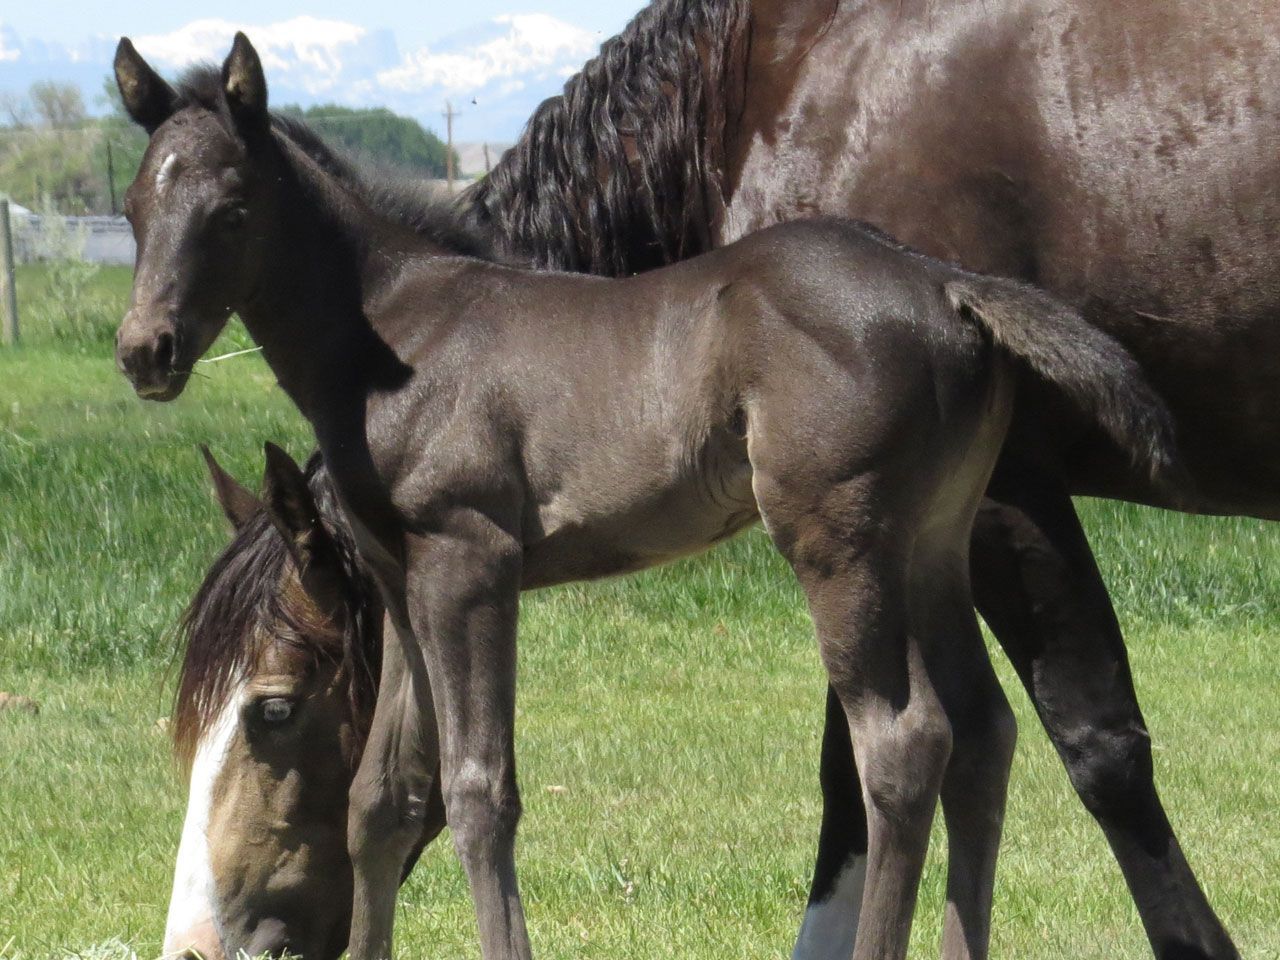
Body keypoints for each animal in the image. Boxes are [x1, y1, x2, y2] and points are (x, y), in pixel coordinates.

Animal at [112, 34, 1178, 960]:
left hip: (841, 542)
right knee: (986, 733)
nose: (144, 351)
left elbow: (479, 791)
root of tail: (945, 282)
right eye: (130, 207)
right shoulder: (400, 585)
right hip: (934, 542)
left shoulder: (469, 565)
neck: (400, 335)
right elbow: (383, 795)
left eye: (232, 209)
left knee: (907, 742)